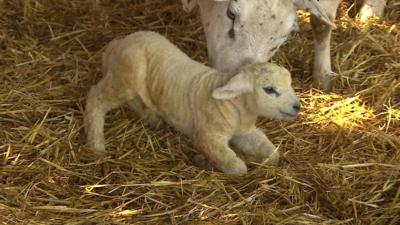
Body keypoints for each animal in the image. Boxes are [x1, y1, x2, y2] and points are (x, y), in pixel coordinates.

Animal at [85, 31, 300, 176]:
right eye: (269, 89)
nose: (297, 107)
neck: (237, 107)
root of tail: (117, 44)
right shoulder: (208, 137)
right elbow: (237, 167)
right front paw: (205, 161)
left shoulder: (244, 132)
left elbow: (272, 153)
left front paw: (258, 158)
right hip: (126, 76)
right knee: (96, 97)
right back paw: (96, 144)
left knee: (134, 100)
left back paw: (153, 118)